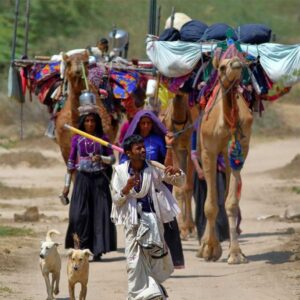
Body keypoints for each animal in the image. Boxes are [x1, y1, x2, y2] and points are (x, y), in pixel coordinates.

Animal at [198, 45, 254, 264]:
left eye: (240, 62)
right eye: (222, 67)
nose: (236, 64)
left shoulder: (240, 150)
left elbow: (231, 202)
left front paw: (236, 253)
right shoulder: (208, 151)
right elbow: (210, 205)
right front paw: (208, 249)